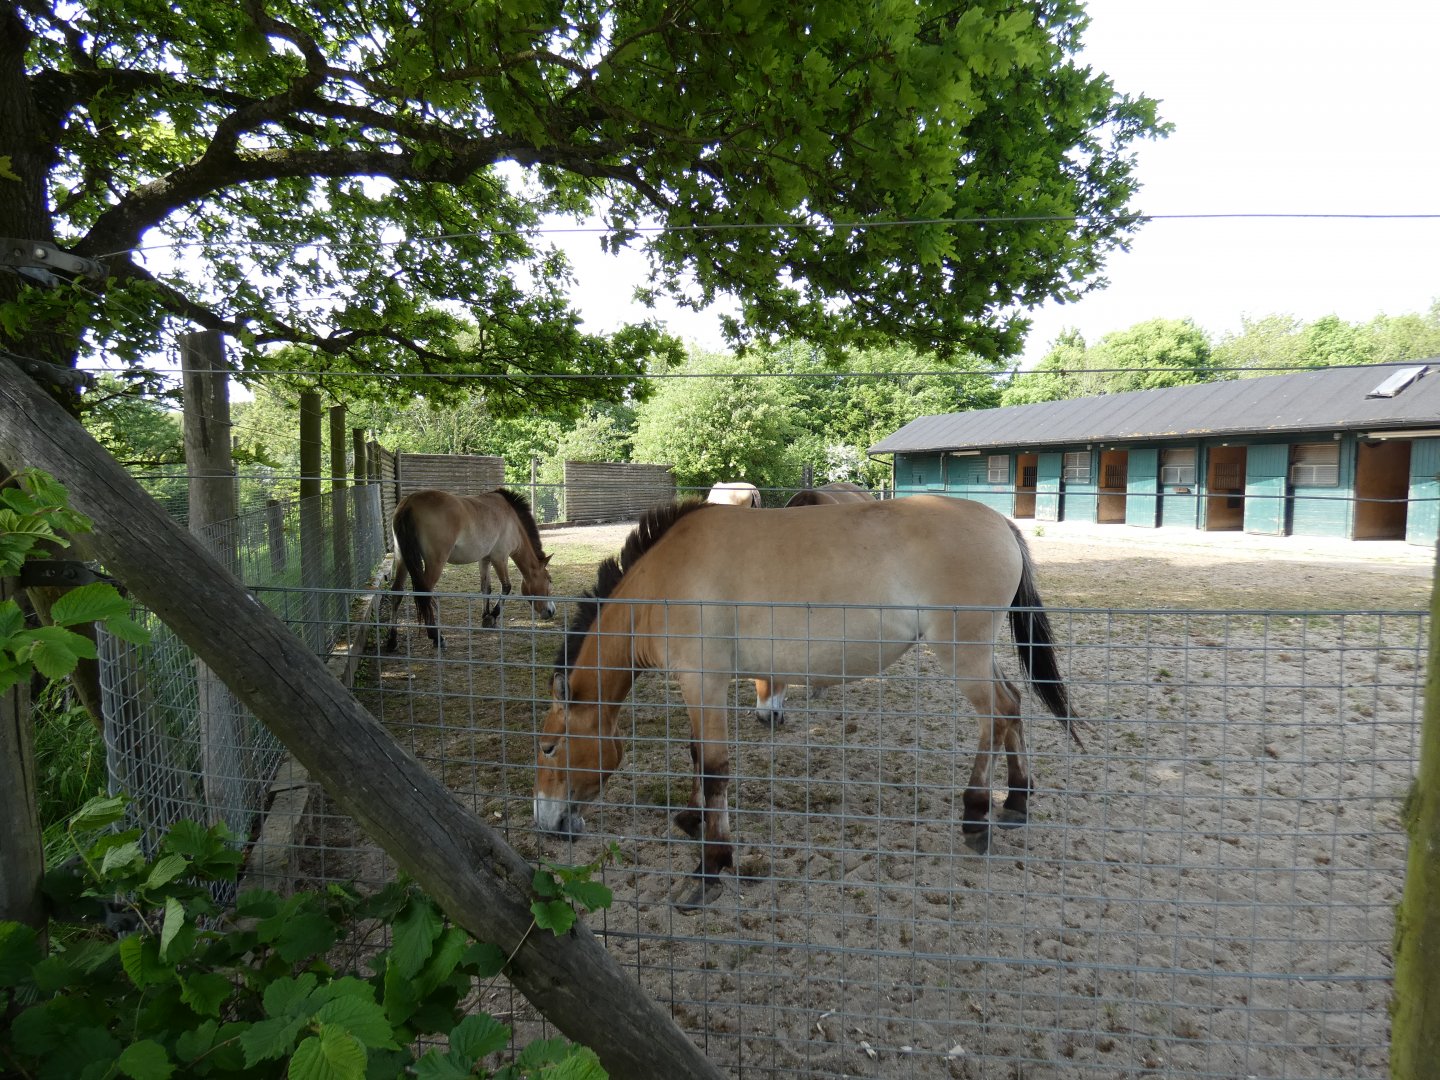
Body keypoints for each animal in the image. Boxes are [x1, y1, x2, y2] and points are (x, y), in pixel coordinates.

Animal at [384, 487, 555, 652]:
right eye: (549, 580)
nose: (552, 611)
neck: (512, 521)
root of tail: (409, 504)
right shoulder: (500, 558)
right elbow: (506, 587)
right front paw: (492, 616)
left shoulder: (484, 559)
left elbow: (486, 588)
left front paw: (486, 616)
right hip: (435, 563)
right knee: (424, 594)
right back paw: (436, 637)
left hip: (402, 558)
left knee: (397, 593)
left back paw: (392, 640)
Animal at [533, 495, 1078, 907]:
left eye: (548, 748)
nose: (546, 824)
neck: (663, 583)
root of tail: (1001, 523)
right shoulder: (700, 688)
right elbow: (696, 757)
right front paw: (692, 820)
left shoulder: (703, 682)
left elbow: (713, 769)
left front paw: (711, 865)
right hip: (978, 654)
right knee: (1013, 705)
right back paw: (1017, 800)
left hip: (962, 653)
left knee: (997, 715)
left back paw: (976, 814)